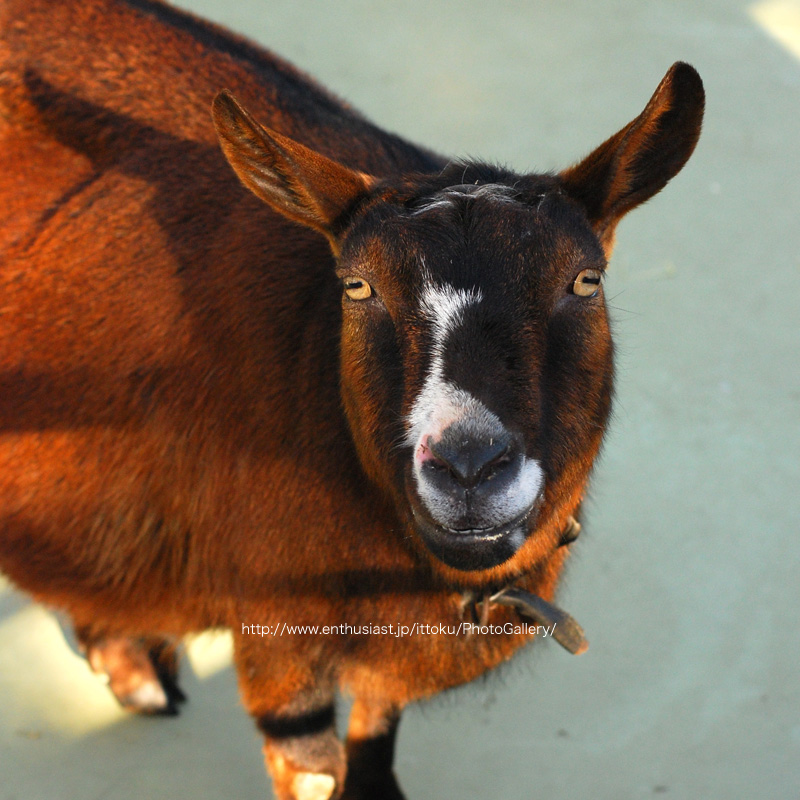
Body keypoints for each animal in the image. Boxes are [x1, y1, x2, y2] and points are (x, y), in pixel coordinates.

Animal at [0, 1, 700, 800]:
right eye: (357, 286)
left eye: (585, 280)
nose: (467, 468)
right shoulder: (277, 634)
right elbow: (314, 771)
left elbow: (377, 730)